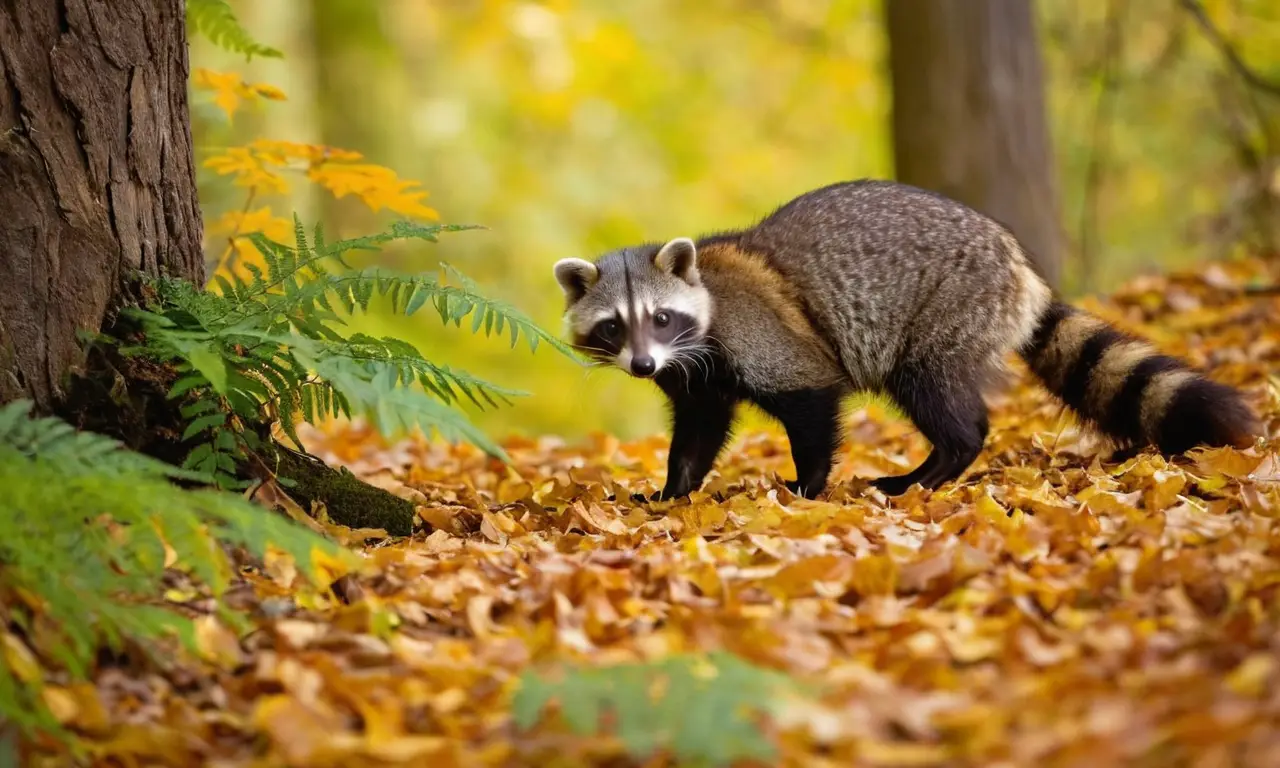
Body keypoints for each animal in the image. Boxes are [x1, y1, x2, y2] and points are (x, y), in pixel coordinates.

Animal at [553, 180, 1260, 500]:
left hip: (949, 308)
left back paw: (936, 466)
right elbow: (698, 432)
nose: (642, 366)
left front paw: (808, 486)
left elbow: (812, 407)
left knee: (938, 396)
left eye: (660, 318)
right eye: (615, 325)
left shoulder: (765, 341)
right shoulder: (696, 377)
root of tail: (1020, 267)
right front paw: (674, 489)